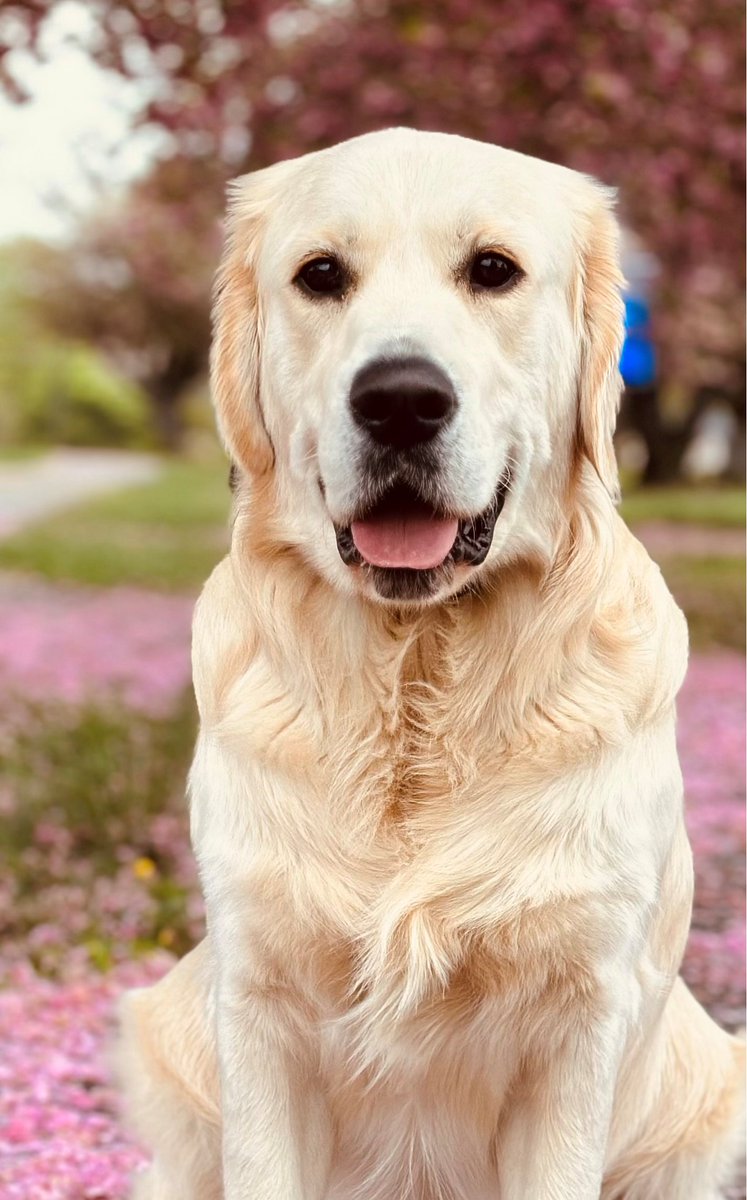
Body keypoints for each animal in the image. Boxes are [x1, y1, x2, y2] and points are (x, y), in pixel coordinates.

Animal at [120, 126, 744, 1195]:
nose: (401, 401)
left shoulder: (578, 1020)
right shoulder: (259, 1005)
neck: (417, 670)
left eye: (491, 270)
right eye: (320, 275)